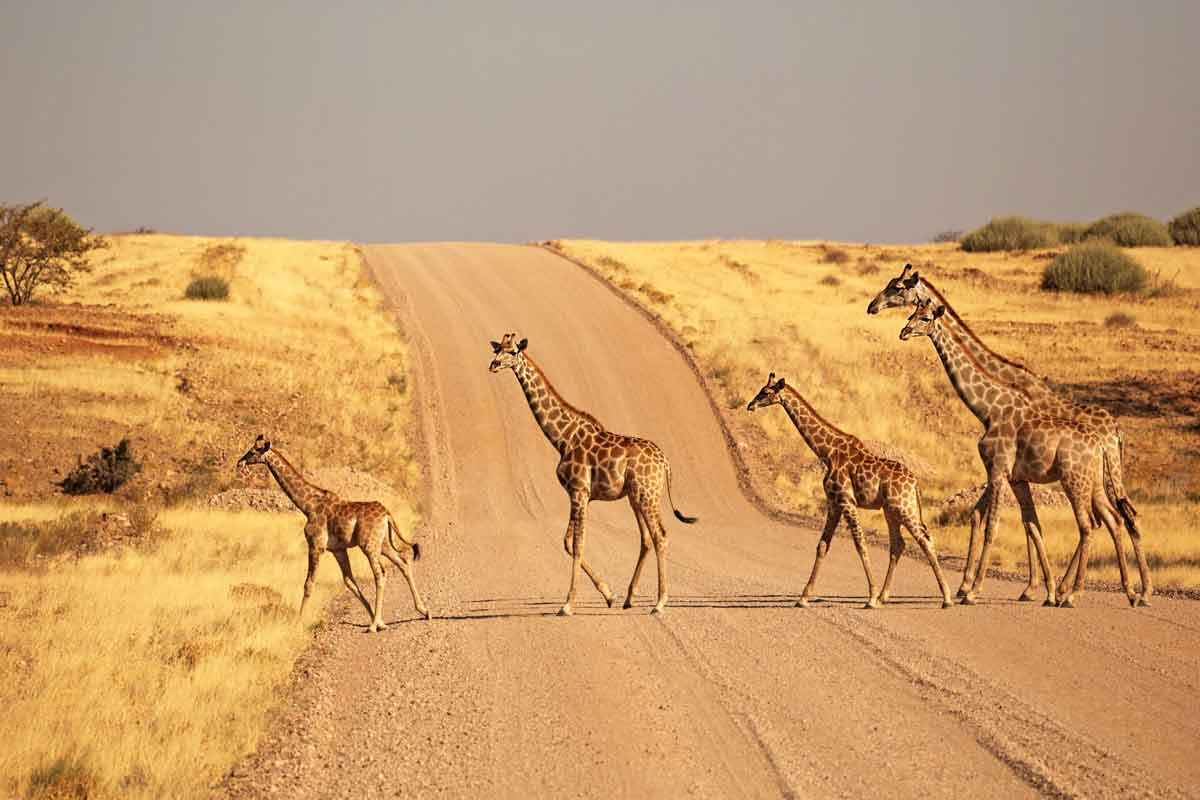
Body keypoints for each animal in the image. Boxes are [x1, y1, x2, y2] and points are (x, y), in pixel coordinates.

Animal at [236, 435, 431, 631]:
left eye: (253, 451)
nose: (239, 463)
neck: (307, 506)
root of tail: (387, 514)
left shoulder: (316, 546)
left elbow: (309, 583)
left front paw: (298, 621)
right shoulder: (338, 549)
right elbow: (349, 581)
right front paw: (377, 618)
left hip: (369, 545)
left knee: (380, 574)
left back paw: (374, 625)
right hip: (382, 543)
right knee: (403, 563)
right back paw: (422, 611)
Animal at [488, 332, 697, 615]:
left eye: (512, 352)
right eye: (498, 348)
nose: (493, 365)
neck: (562, 438)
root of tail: (665, 462)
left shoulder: (579, 491)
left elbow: (578, 544)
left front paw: (567, 605)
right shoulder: (578, 495)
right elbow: (568, 542)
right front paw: (609, 595)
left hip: (648, 495)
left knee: (660, 536)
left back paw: (660, 603)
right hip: (635, 497)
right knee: (646, 539)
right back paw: (629, 598)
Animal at [746, 373, 954, 609]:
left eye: (765, 392)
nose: (750, 405)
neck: (826, 452)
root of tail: (915, 482)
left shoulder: (846, 501)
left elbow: (860, 543)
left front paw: (870, 597)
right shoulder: (834, 503)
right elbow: (822, 545)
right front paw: (803, 597)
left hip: (903, 508)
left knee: (925, 540)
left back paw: (946, 598)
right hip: (891, 510)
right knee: (898, 544)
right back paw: (884, 596)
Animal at [869, 264, 1151, 605]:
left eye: (898, 288)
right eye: (909, 308)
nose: (873, 307)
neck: (991, 406)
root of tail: (1115, 430)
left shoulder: (1001, 470)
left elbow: (998, 524)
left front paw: (981, 589)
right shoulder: (1012, 475)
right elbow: (1012, 521)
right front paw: (1024, 587)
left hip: (1090, 478)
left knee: (1106, 520)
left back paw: (1109, 591)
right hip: (1097, 479)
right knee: (1115, 518)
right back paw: (1125, 591)